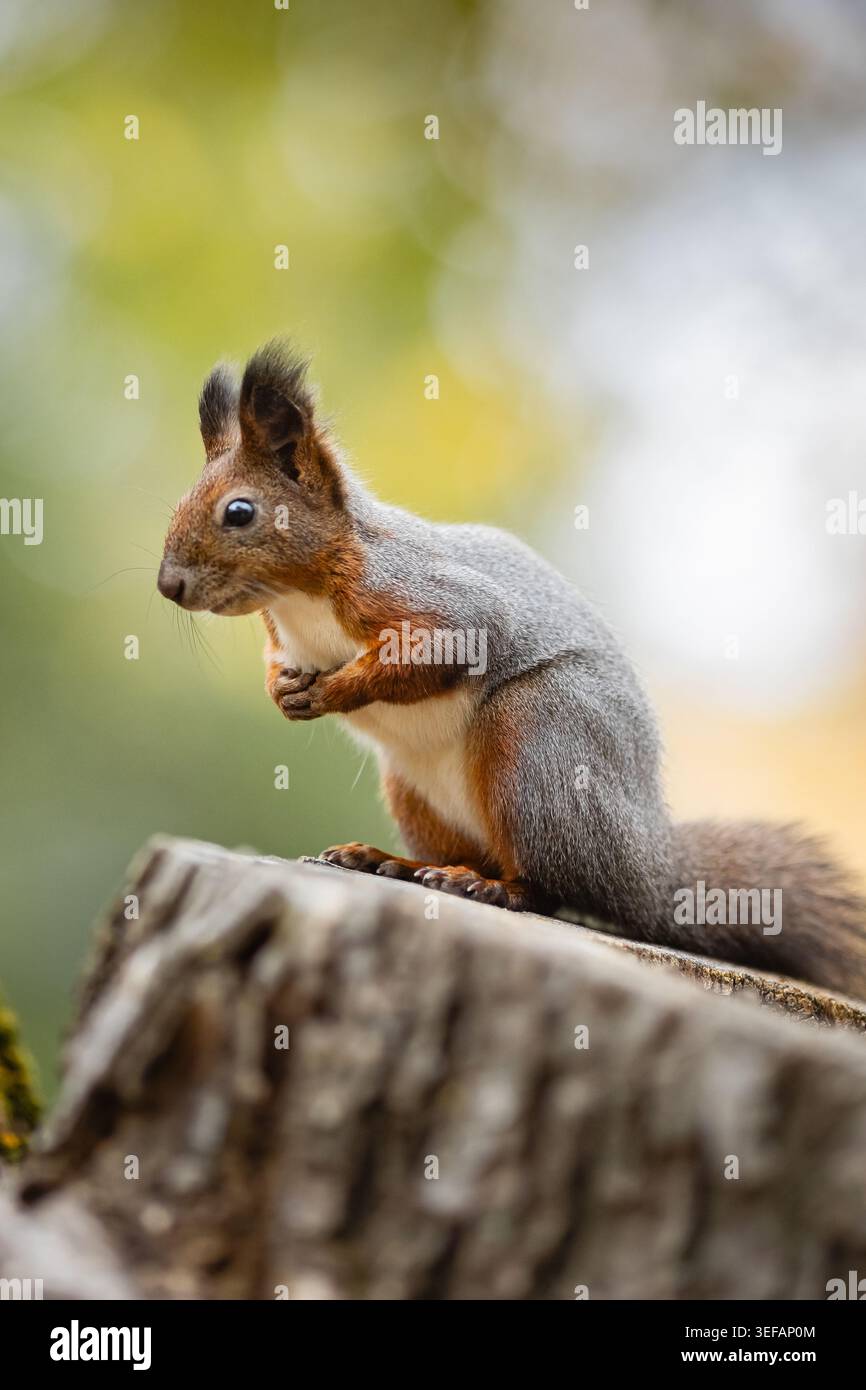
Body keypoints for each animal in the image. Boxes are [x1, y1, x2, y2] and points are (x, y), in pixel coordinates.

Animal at [158, 340, 866, 1000]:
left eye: (239, 512)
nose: (169, 585)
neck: (296, 597)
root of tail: (649, 868)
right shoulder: (284, 637)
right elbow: (278, 664)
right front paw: (282, 690)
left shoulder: (440, 604)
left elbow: (437, 648)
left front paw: (335, 689)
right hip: (414, 789)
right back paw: (388, 862)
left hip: (536, 743)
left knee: (550, 888)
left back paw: (489, 888)